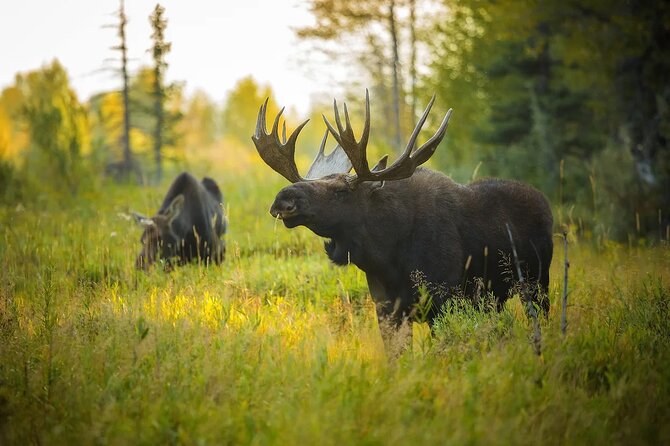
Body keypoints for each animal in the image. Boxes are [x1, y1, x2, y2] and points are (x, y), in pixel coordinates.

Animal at [253, 89, 556, 344]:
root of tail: (545, 203)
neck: (387, 255)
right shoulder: (386, 308)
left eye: (341, 190)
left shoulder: (443, 299)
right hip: (497, 296)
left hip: (537, 281)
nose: (283, 199)